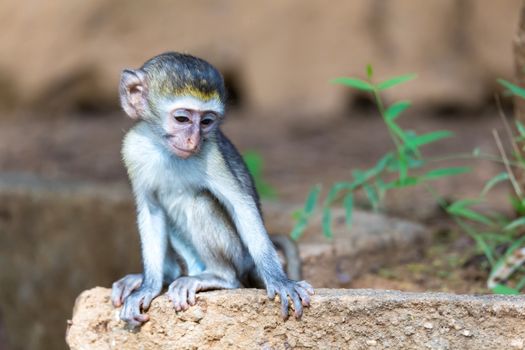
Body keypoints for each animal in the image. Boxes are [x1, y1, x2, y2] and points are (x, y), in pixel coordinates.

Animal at [111, 52, 314, 328]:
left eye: (206, 122)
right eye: (182, 119)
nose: (193, 140)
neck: (166, 151)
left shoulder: (211, 153)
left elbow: (241, 205)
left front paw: (280, 280)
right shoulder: (132, 148)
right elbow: (152, 212)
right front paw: (148, 286)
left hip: (238, 255)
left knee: (200, 202)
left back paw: (218, 277)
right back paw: (166, 275)